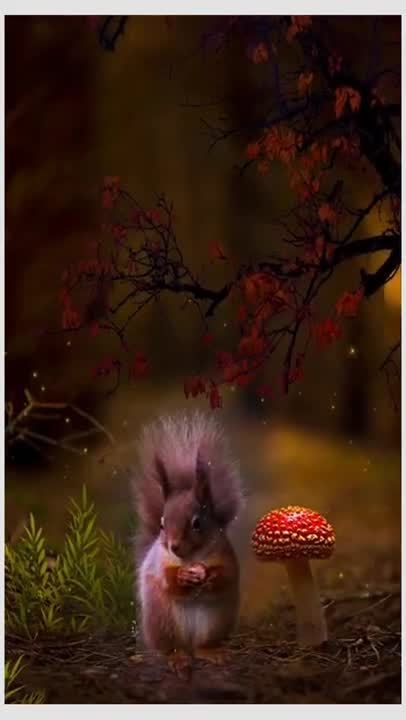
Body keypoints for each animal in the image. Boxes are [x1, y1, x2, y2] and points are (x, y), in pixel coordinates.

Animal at [133, 410, 244, 658]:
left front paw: (209, 576)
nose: (173, 546)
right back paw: (177, 658)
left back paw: (209, 651)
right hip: (162, 620)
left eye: (197, 523)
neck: (192, 557)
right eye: (162, 525)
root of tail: (189, 643)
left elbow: (228, 574)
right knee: (170, 647)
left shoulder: (226, 553)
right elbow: (167, 580)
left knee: (202, 645)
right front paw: (183, 576)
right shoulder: (159, 561)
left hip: (215, 622)